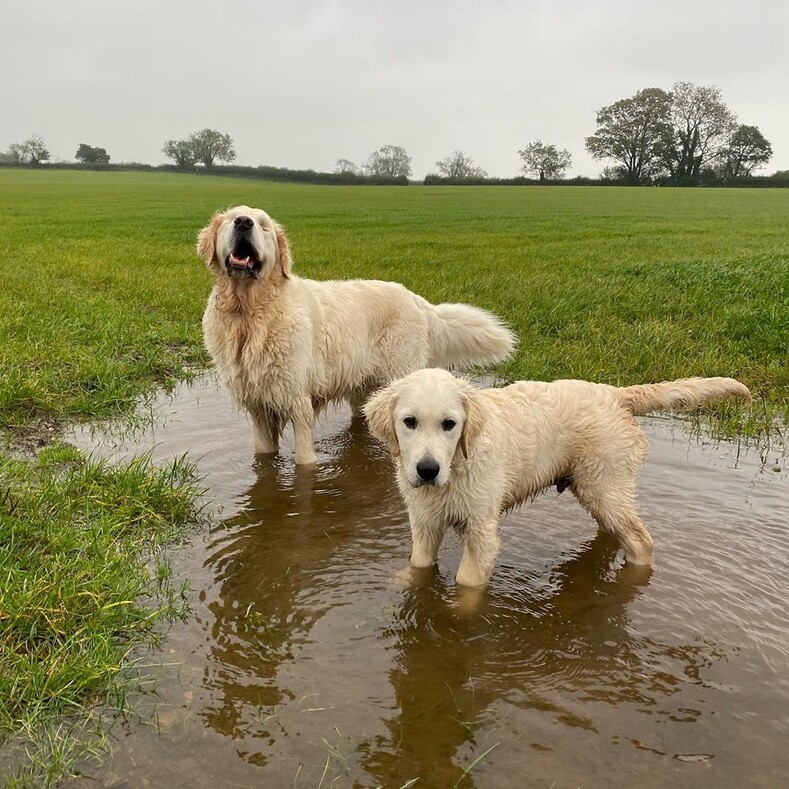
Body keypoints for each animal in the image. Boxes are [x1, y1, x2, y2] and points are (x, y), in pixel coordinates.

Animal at [197, 206, 516, 464]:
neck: (248, 313)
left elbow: (304, 459)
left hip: (400, 375)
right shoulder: (259, 406)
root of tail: (417, 299)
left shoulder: (298, 401)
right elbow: (263, 454)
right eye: (231, 218)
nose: (243, 222)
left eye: (263, 225)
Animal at [364, 370, 752, 584]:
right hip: (598, 487)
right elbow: (419, 564)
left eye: (449, 424)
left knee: (641, 541)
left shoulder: (481, 529)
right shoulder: (425, 521)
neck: (457, 466)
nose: (427, 470)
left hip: (605, 483)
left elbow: (468, 582)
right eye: (409, 422)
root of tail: (616, 393)